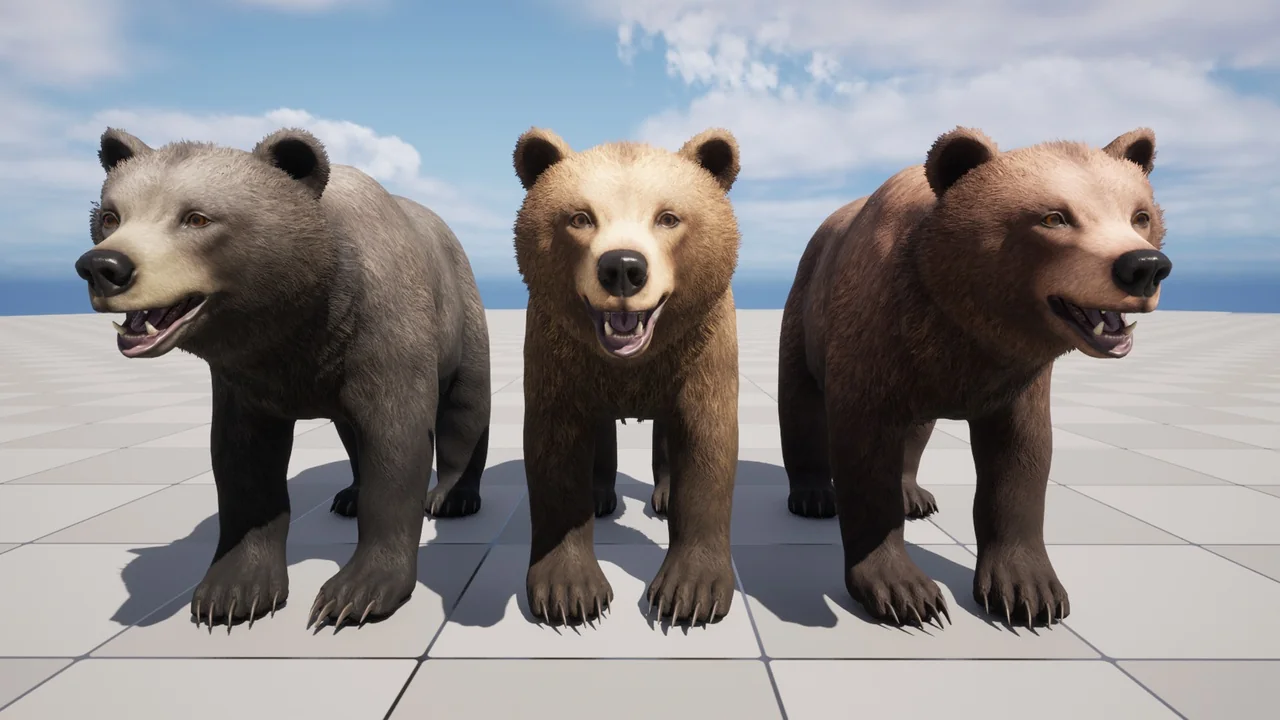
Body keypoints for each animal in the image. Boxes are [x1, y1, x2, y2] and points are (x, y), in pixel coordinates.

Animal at [74, 127, 492, 631]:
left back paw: (453, 497)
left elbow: (396, 441)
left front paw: (354, 593)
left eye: (196, 217)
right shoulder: (246, 377)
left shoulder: (384, 331)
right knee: (350, 433)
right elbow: (244, 460)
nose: (104, 266)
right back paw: (349, 495)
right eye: (110, 215)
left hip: (461, 315)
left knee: (465, 409)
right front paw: (233, 591)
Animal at [511, 126, 743, 626]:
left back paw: (663, 496)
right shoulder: (558, 351)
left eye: (668, 217)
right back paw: (601, 496)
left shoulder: (703, 344)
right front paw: (568, 591)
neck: (632, 362)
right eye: (580, 217)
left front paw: (688, 593)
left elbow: (706, 439)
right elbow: (554, 447)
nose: (622, 268)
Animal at [777, 127, 1172, 628]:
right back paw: (813, 496)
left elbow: (1020, 457)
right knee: (801, 402)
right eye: (1054, 217)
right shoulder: (873, 338)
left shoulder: (1015, 377)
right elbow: (863, 450)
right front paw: (905, 591)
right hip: (807, 308)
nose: (1143, 266)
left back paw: (913, 494)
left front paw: (1028, 591)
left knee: (917, 430)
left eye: (1140, 215)